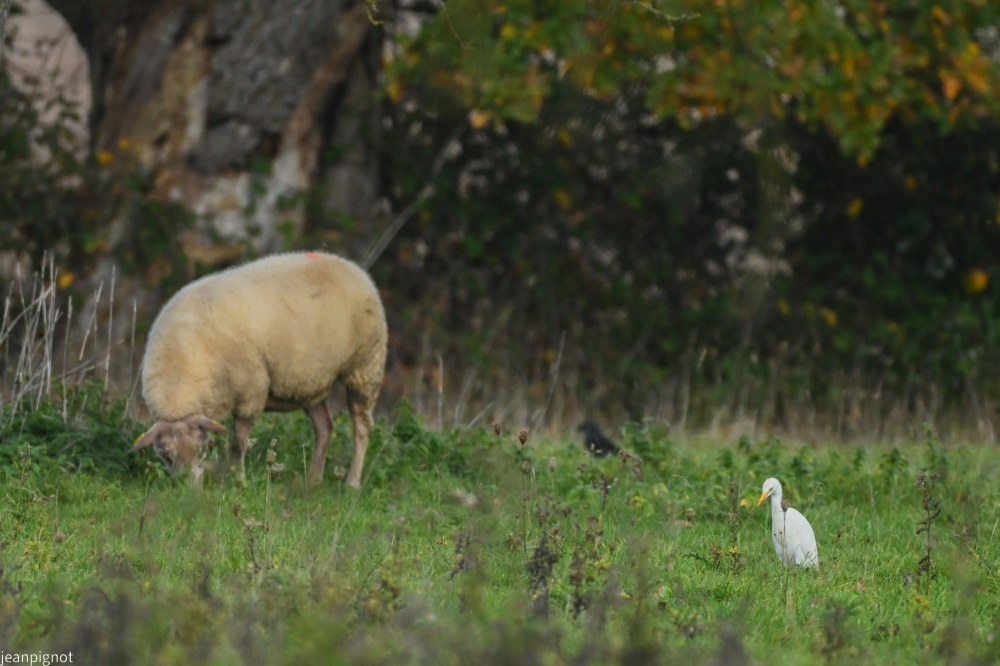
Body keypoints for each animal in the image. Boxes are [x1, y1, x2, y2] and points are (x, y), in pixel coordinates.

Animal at [131, 251, 387, 488]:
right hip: (309, 384)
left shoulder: (251, 392)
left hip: (365, 366)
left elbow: (238, 443)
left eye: (202, 448)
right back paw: (312, 482)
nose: (190, 490)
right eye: (166, 454)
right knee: (324, 426)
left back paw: (352, 483)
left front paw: (238, 479)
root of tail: (350, 265)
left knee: (362, 426)